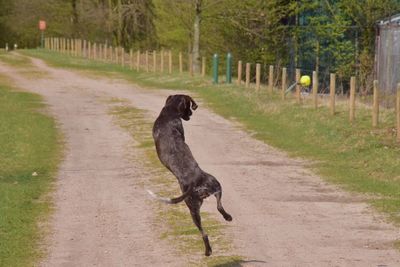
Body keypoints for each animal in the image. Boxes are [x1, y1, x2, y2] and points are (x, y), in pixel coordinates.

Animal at [150, 94, 231, 258]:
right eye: (189, 106)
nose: (192, 114)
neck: (170, 112)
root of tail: (196, 183)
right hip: (212, 189)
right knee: (216, 211)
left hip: (201, 199)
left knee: (207, 227)